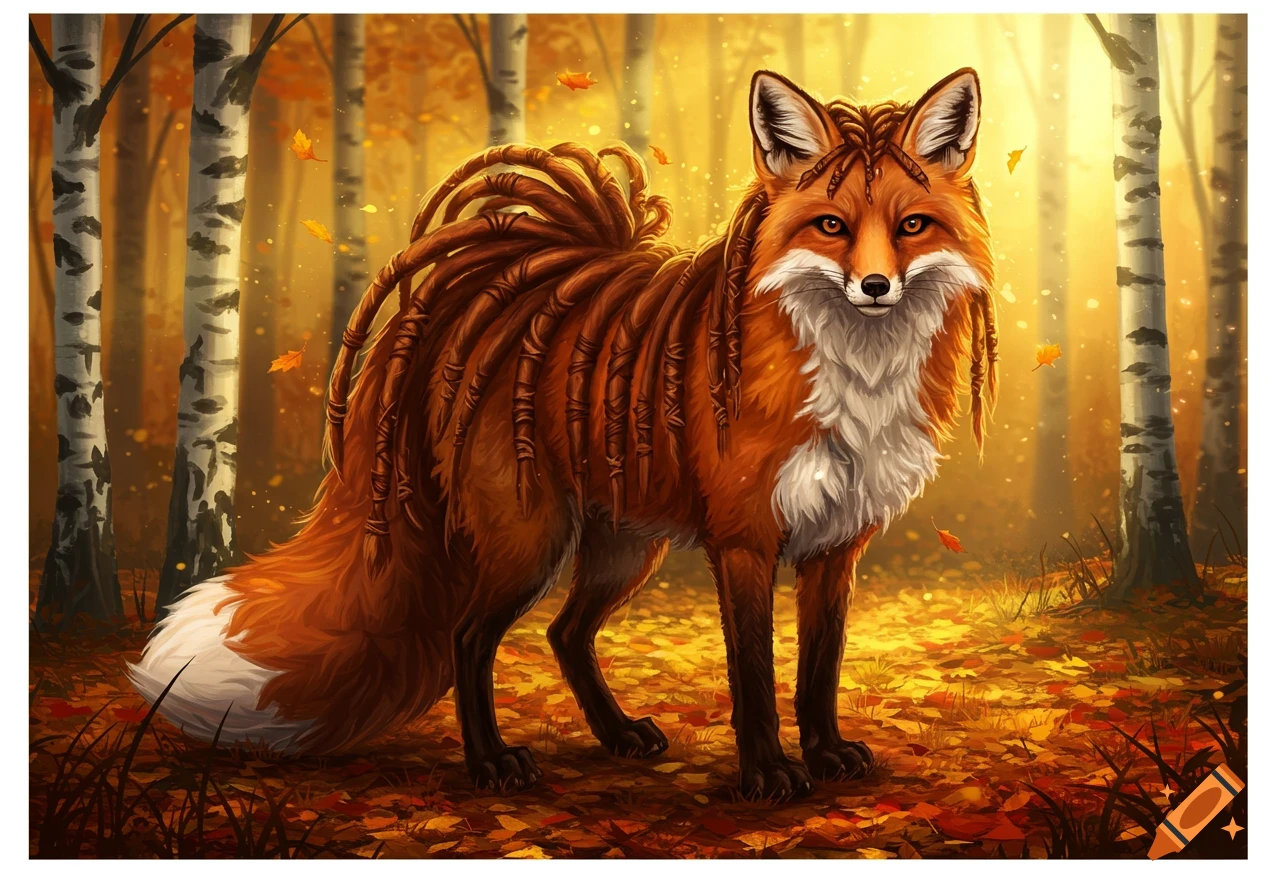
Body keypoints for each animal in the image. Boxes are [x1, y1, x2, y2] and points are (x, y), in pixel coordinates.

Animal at [130, 68, 997, 802]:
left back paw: (615, 735)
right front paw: (767, 775)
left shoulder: (834, 544)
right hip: (533, 540)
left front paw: (825, 754)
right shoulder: (745, 540)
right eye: (831, 226)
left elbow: (818, 670)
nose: (876, 286)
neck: (856, 377)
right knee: (470, 638)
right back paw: (491, 764)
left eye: (911, 226)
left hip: (624, 547)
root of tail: (503, 288)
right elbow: (752, 675)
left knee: (564, 634)